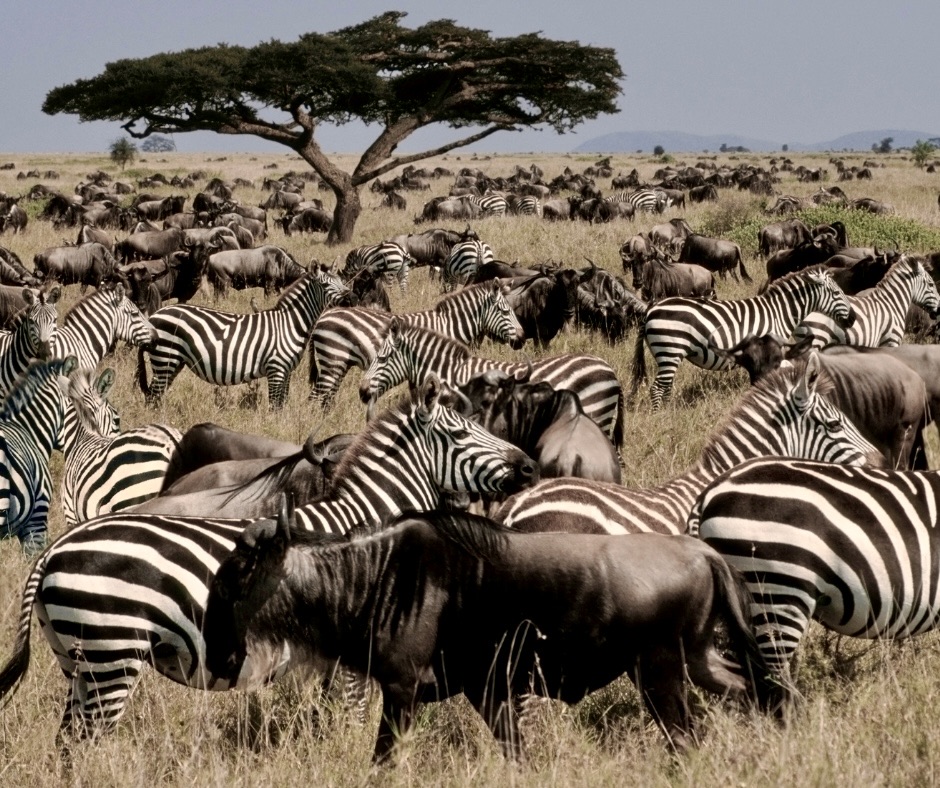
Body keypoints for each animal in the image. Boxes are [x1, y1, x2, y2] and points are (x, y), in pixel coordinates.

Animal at [137, 266, 348, 409]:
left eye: (341, 281)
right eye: (325, 284)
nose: (350, 297)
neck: (290, 323)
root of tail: (154, 316)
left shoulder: (287, 370)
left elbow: (282, 404)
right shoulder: (276, 368)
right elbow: (274, 405)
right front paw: (273, 428)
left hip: (174, 361)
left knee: (156, 395)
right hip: (165, 357)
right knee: (152, 396)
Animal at [309, 280, 524, 408]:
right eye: (505, 311)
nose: (522, 339)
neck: (449, 325)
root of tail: (322, 317)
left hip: (337, 364)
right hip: (333, 361)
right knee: (318, 397)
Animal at [632, 266, 857, 410]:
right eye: (837, 293)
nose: (853, 318)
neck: (779, 312)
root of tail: (651, 309)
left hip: (667, 354)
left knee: (665, 388)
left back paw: (668, 411)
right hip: (669, 349)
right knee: (657, 389)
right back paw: (659, 415)